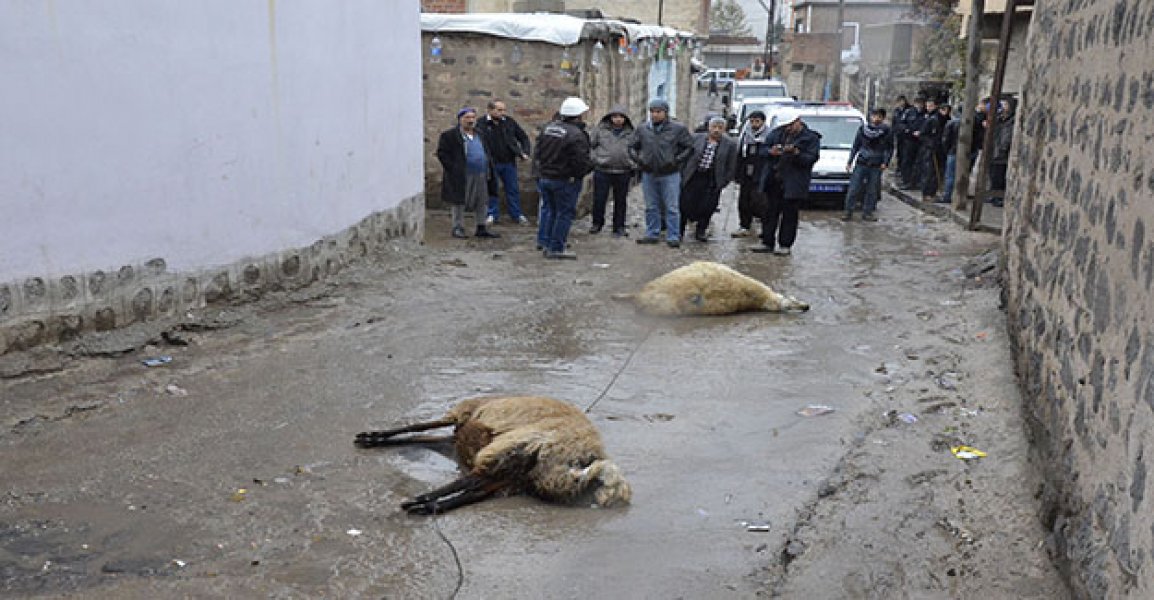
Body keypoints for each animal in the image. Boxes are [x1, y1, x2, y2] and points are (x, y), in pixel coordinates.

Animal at [355, 394, 637, 514]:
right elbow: (419, 432)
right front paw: (371, 438)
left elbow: (418, 427)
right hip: (510, 464)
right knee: (475, 485)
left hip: (506, 454)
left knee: (472, 481)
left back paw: (421, 503)